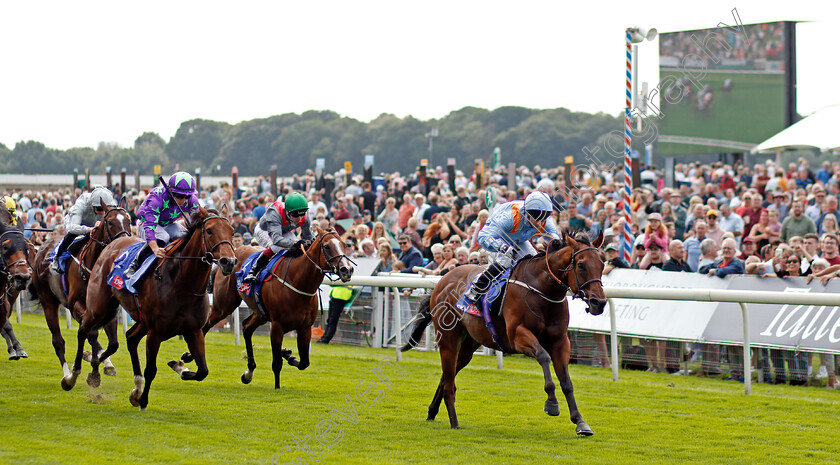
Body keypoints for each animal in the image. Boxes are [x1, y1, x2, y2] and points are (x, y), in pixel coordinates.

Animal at [30, 201, 131, 382]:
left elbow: (113, 344)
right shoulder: (76, 304)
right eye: (110, 222)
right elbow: (91, 334)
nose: (125, 243)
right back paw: (67, 375)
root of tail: (41, 249)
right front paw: (91, 363)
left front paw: (102, 362)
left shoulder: (109, 310)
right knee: (58, 341)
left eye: (128, 220)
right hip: (48, 302)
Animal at [62, 208, 236, 408]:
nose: (229, 261)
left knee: (130, 338)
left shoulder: (194, 330)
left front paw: (179, 367)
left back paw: (108, 373)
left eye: (232, 231)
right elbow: (151, 369)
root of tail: (111, 244)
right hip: (98, 307)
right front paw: (143, 400)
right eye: (209, 230)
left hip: (139, 319)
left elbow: (203, 371)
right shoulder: (156, 332)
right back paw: (72, 377)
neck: (183, 282)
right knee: (83, 330)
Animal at [182, 227, 352, 386]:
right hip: (224, 306)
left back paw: (249, 372)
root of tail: (234, 251)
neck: (297, 281)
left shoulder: (305, 327)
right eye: (327, 246)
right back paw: (189, 356)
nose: (347, 270)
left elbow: (304, 363)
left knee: (247, 327)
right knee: (207, 324)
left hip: (260, 313)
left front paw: (288, 354)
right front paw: (277, 387)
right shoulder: (277, 326)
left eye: (344, 245)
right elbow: (277, 364)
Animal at [402, 232, 604, 436]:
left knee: (446, 377)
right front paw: (552, 404)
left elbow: (567, 382)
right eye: (581, 265)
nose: (599, 302)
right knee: (449, 383)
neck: (542, 290)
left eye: (602, 264)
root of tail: (442, 280)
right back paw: (454, 422)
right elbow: (543, 356)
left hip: (468, 347)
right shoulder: (517, 336)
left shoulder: (560, 342)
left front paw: (580, 422)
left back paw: (432, 412)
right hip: (448, 340)